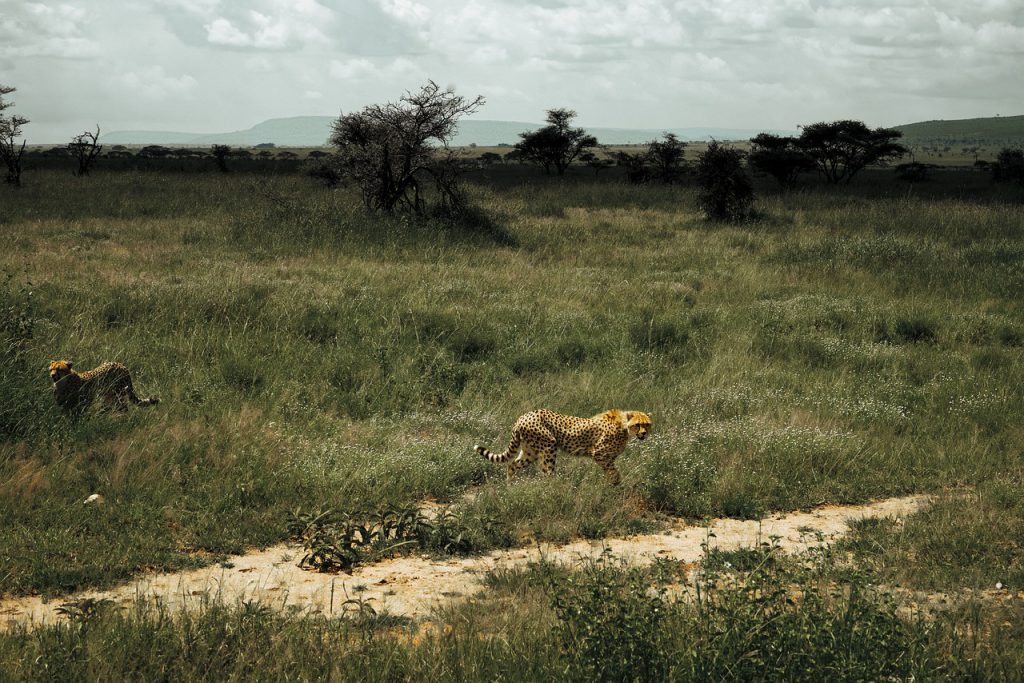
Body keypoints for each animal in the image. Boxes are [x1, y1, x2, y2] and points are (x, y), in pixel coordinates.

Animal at [475, 409, 651, 483]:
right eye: (638, 425)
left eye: (647, 424)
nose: (643, 433)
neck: (624, 426)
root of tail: (523, 416)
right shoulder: (599, 453)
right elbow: (614, 473)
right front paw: (615, 486)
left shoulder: (608, 458)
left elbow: (612, 472)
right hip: (549, 446)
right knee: (547, 472)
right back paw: (556, 490)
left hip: (530, 451)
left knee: (512, 464)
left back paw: (510, 486)